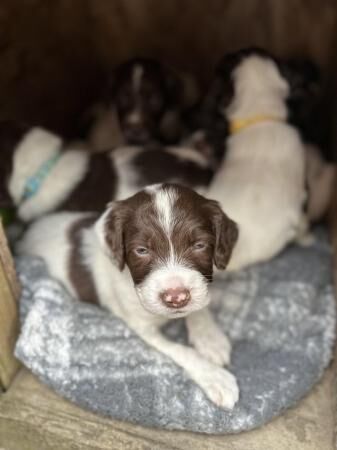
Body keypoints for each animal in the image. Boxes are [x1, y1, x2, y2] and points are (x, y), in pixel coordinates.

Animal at [18, 185, 239, 410]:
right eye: (141, 250)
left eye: (200, 245)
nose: (176, 297)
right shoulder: (142, 327)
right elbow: (181, 350)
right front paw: (215, 376)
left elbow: (199, 307)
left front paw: (210, 339)